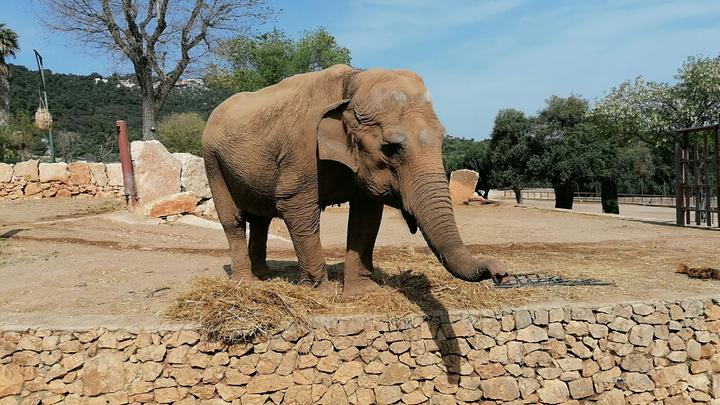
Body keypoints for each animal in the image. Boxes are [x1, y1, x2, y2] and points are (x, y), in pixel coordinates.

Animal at [202, 64, 507, 297]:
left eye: (444, 139)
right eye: (390, 148)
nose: (501, 272)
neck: (354, 83)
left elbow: (367, 215)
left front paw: (362, 292)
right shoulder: (301, 150)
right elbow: (296, 206)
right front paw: (323, 294)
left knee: (260, 219)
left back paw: (264, 275)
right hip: (212, 160)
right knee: (233, 219)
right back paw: (246, 282)